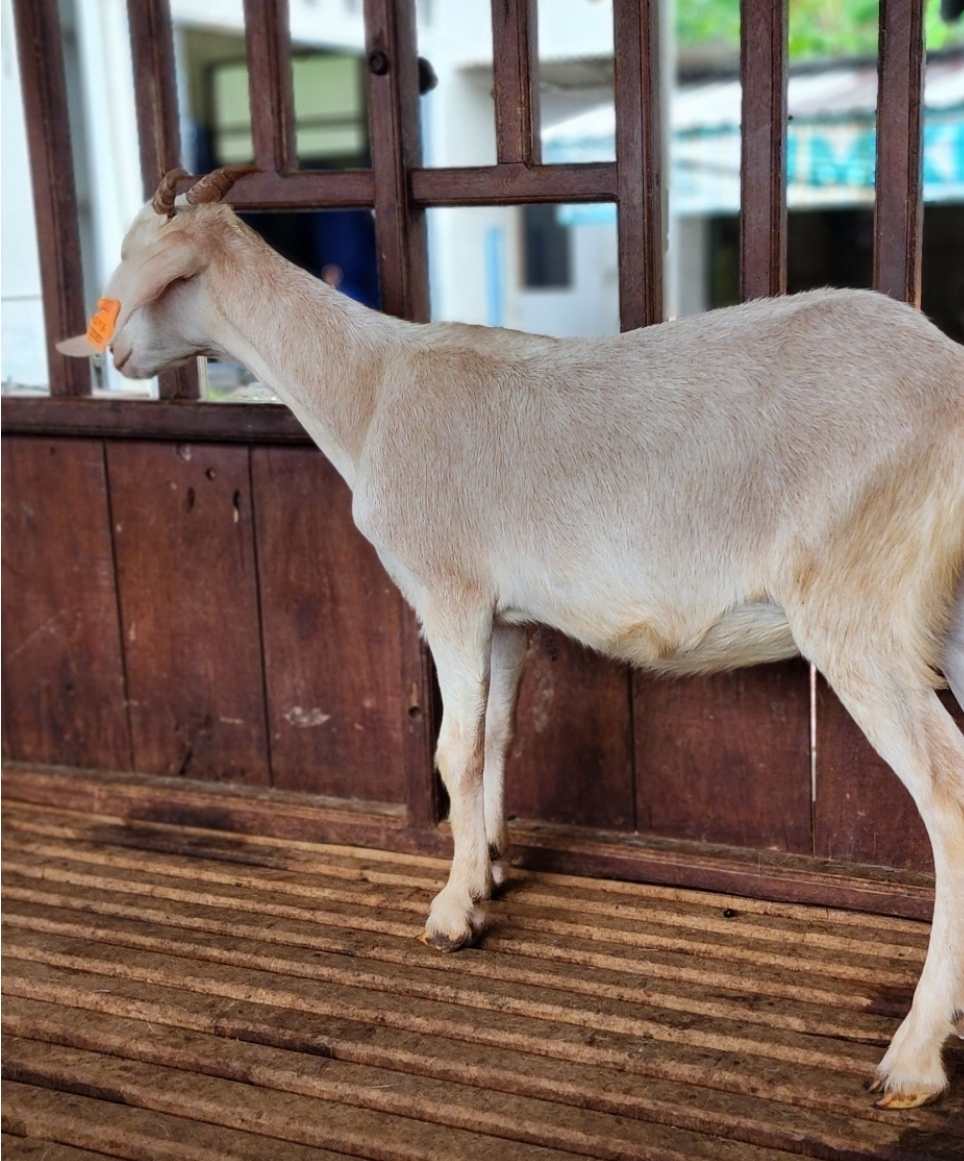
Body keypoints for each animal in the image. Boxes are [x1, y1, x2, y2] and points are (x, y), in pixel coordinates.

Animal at [58, 166, 964, 1109]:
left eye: (134, 253)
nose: (113, 355)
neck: (371, 389)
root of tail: (950, 372)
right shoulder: (507, 617)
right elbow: (494, 735)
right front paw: (487, 861)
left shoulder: (448, 591)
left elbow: (452, 750)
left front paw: (453, 913)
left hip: (860, 602)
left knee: (947, 794)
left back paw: (914, 1053)